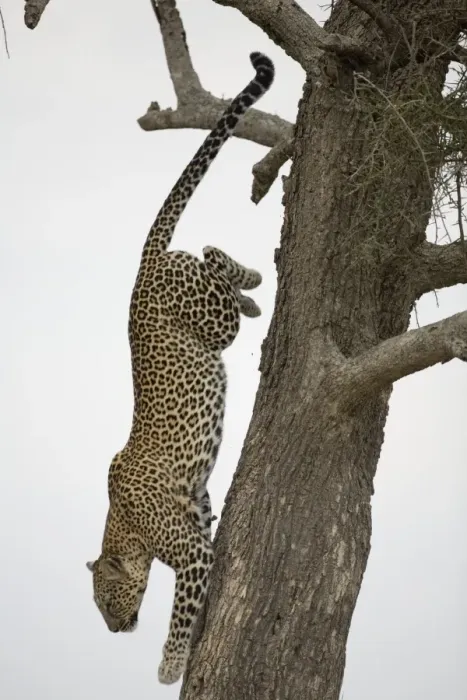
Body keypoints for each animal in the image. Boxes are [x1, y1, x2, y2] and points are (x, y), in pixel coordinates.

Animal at [86, 51, 275, 685]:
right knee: (216, 267)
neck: (124, 526)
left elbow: (179, 613)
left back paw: (251, 280)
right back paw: (254, 292)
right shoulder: (201, 516)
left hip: (208, 316)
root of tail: (142, 266)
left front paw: (171, 665)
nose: (113, 630)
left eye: (105, 601)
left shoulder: (188, 551)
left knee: (213, 255)